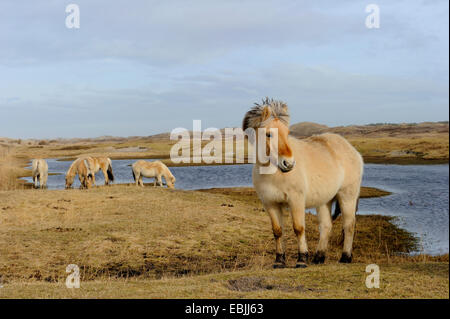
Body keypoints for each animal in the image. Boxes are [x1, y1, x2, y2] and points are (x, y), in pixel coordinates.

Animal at [243, 99, 362, 268]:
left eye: (287, 133)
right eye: (268, 134)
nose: (288, 164)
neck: (275, 173)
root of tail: (352, 150)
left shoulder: (296, 200)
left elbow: (298, 228)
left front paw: (301, 260)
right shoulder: (270, 204)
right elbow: (277, 231)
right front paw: (279, 261)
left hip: (347, 197)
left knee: (349, 226)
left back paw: (345, 257)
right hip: (324, 201)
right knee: (326, 226)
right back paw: (318, 258)